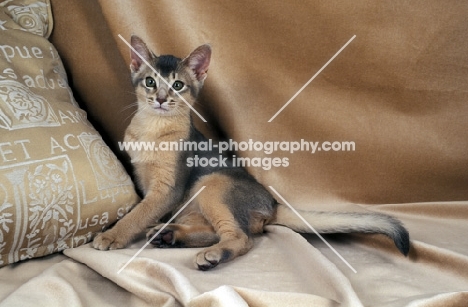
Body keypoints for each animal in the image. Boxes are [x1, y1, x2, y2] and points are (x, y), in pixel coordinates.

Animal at [92, 36, 410, 272]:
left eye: (178, 85)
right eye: (150, 81)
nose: (159, 99)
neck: (152, 129)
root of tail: (273, 203)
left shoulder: (167, 189)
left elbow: (137, 214)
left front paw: (111, 235)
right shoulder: (146, 181)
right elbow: (141, 210)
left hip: (214, 183)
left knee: (242, 237)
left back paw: (210, 254)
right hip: (196, 199)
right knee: (217, 230)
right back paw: (169, 235)